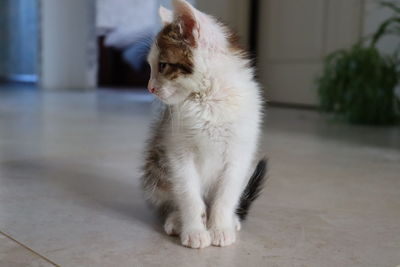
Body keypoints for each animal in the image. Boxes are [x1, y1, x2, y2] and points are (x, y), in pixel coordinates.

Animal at [142, 0, 268, 250]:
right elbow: (189, 195)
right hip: (156, 166)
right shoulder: (177, 152)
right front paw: (195, 231)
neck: (209, 99)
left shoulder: (239, 154)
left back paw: (232, 220)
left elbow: (226, 196)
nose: (149, 87)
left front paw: (220, 228)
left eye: (162, 65)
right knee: (172, 198)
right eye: (151, 66)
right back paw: (176, 219)